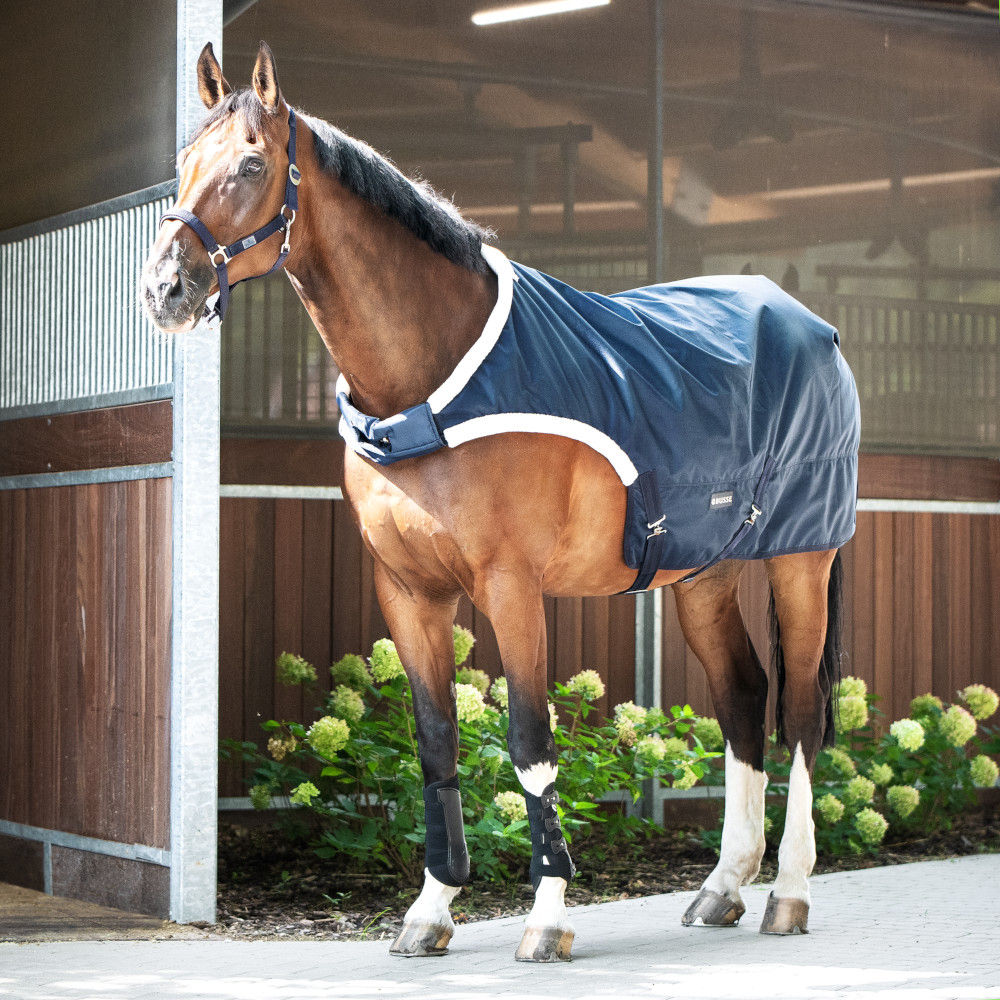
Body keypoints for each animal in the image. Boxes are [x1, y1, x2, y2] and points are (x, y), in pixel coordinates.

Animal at [141, 42, 860, 962]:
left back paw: (788, 894)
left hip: (803, 561)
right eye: (183, 164)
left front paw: (547, 918)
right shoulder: (409, 592)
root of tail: (812, 324)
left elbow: (529, 742)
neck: (431, 380)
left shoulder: (511, 588)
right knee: (742, 698)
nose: (165, 290)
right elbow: (435, 740)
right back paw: (722, 887)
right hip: (705, 574)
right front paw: (431, 909)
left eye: (252, 164)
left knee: (800, 710)